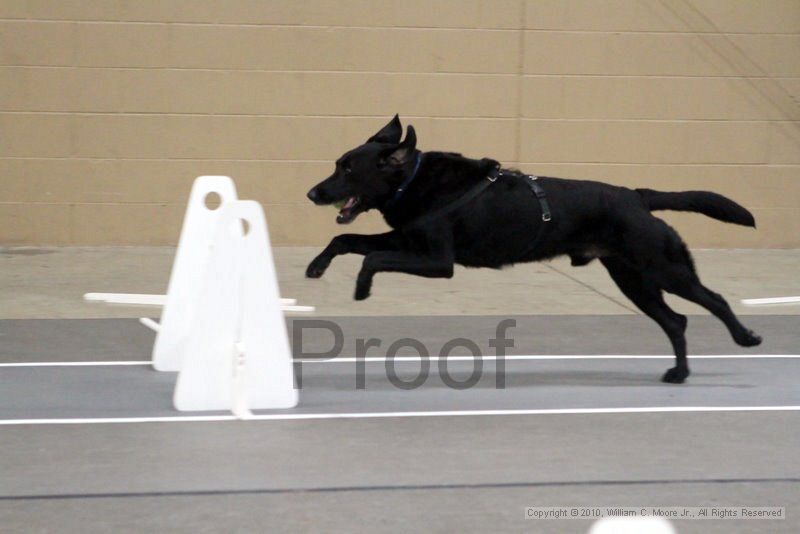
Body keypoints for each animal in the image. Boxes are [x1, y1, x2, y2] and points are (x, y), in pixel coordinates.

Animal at [306, 117, 764, 386]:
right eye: (337, 164)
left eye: (348, 169)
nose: (312, 193)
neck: (413, 180)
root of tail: (637, 196)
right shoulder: (405, 240)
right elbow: (347, 241)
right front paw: (316, 267)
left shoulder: (437, 261)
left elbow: (371, 258)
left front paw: (362, 288)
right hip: (632, 279)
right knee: (676, 320)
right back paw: (680, 372)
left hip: (663, 267)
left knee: (714, 299)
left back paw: (745, 337)